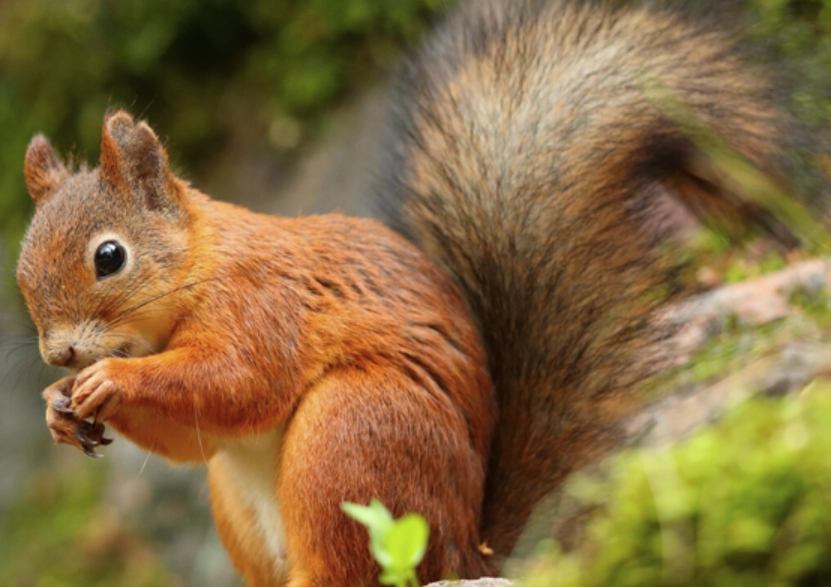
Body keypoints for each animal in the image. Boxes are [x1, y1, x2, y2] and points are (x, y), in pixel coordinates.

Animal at [16, 0, 788, 585]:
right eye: (21, 272)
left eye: (109, 257)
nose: (58, 355)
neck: (199, 268)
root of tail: (467, 549)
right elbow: (193, 439)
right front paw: (58, 405)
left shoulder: (262, 306)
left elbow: (237, 380)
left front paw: (111, 380)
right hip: (243, 498)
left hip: (354, 434)